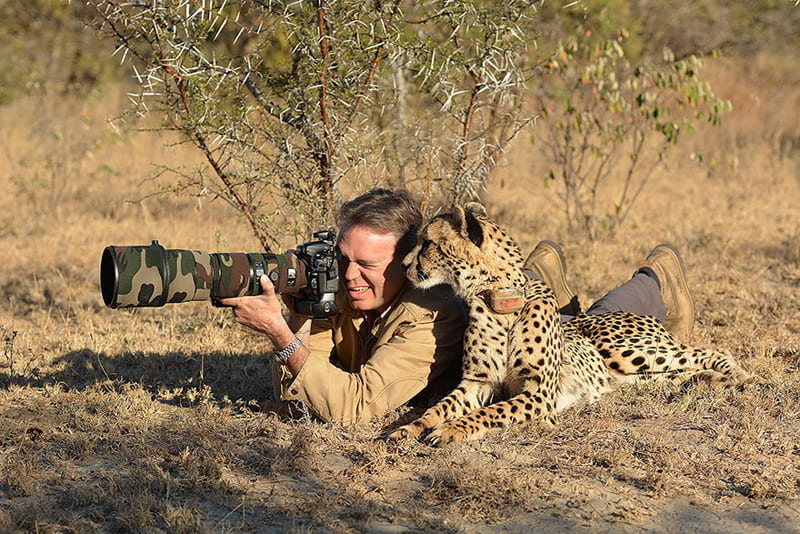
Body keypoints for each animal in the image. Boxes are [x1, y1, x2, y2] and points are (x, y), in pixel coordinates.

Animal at [388, 202, 751, 446]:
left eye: (428, 243)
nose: (403, 265)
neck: (499, 299)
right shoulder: (477, 383)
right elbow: (438, 408)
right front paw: (408, 428)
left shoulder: (539, 395)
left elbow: (487, 414)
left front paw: (451, 429)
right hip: (632, 376)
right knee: (678, 372)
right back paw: (710, 381)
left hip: (626, 351)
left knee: (707, 352)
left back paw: (738, 376)